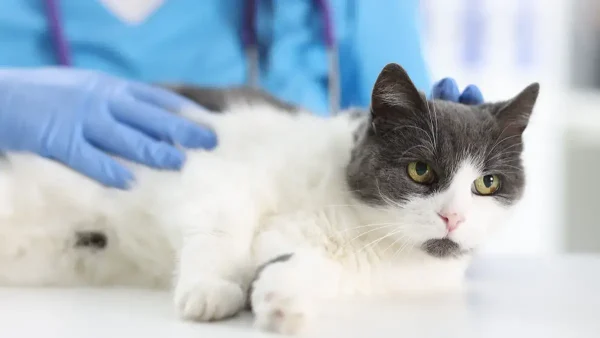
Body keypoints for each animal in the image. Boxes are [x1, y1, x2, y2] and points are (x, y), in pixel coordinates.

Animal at [0, 63, 540, 336]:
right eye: (421, 170)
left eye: (487, 183)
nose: (453, 217)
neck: (354, 222)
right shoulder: (215, 167)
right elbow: (223, 222)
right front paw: (211, 289)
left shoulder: (351, 267)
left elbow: (298, 265)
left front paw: (281, 299)